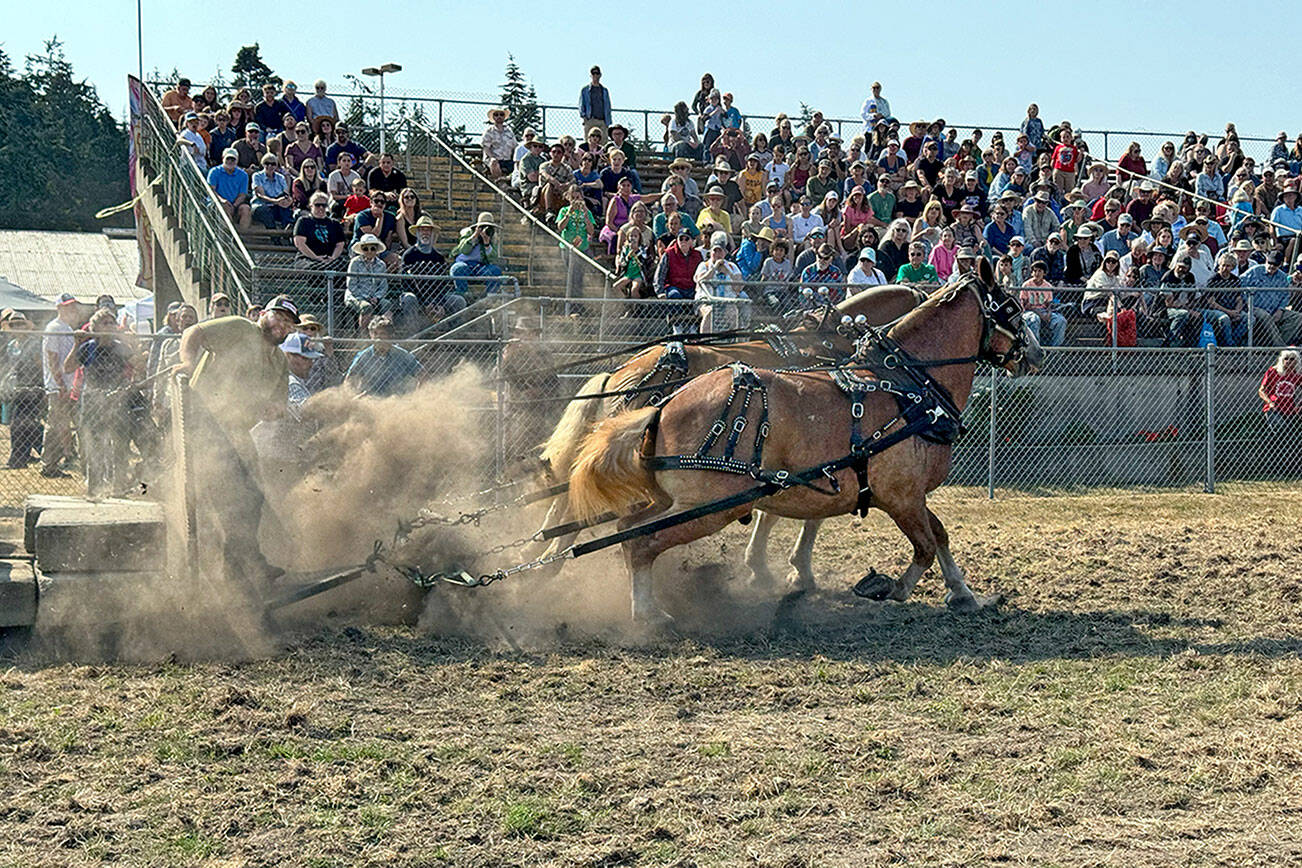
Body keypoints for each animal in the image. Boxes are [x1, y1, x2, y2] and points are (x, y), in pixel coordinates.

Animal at [570, 274, 1046, 622]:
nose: (1038, 354)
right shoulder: (900, 495)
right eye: (1013, 308)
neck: (908, 386)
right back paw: (647, 615)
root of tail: (662, 404)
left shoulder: (896, 492)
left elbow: (940, 535)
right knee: (640, 543)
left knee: (625, 529)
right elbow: (924, 546)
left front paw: (964, 594)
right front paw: (887, 587)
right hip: (709, 506)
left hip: (672, 499)